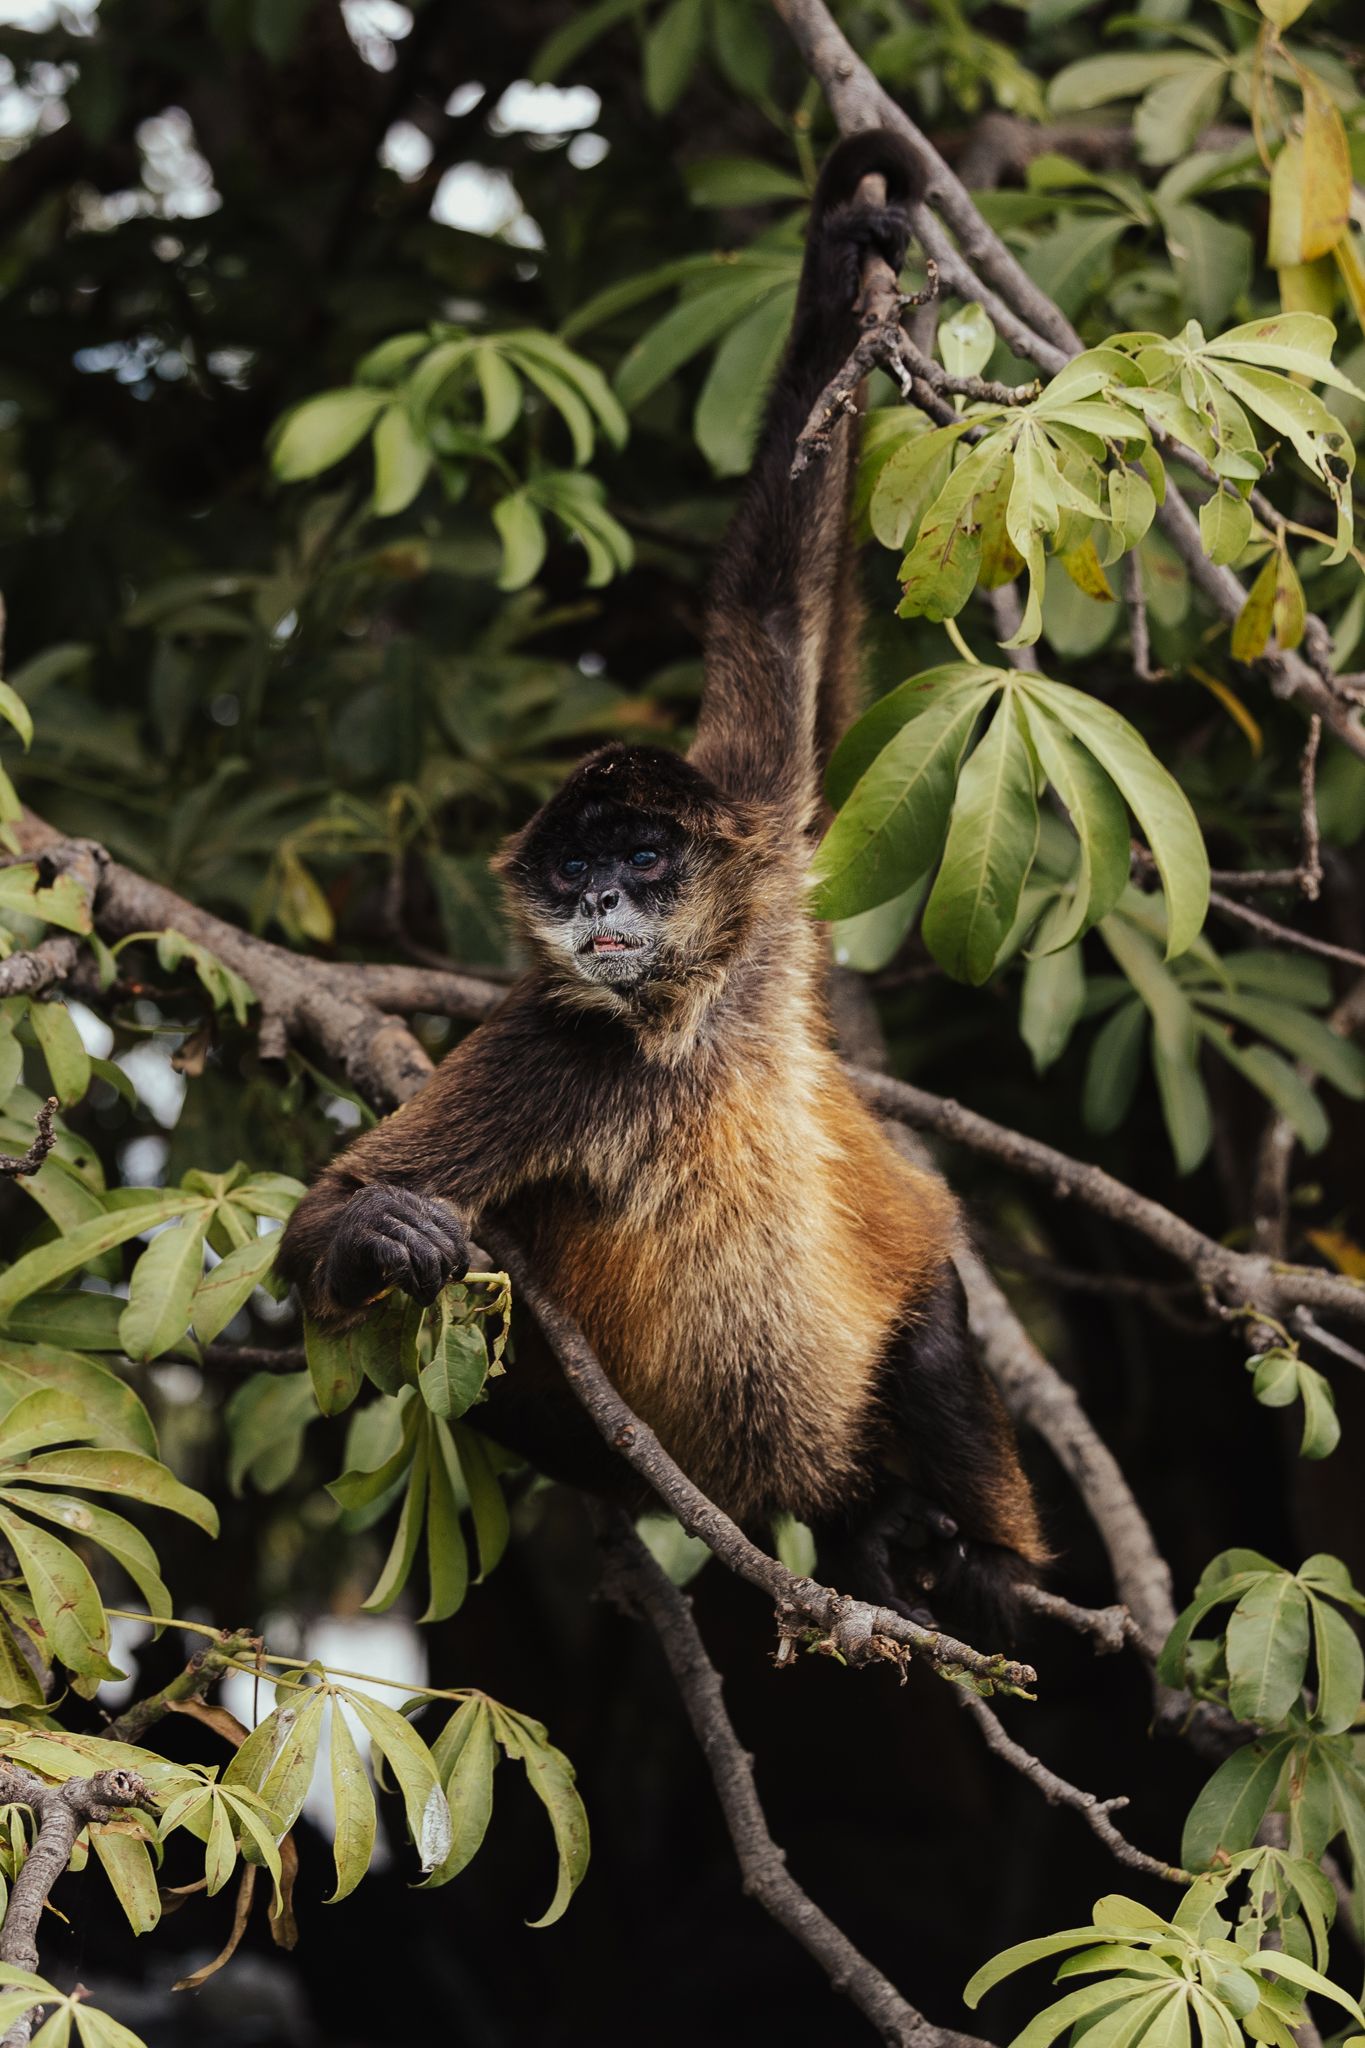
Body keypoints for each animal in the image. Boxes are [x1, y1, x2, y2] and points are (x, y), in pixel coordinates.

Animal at [277, 129, 1047, 1629]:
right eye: (575, 871)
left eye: (641, 857)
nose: (601, 907)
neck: (679, 1026)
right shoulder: (546, 1043)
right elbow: (315, 1232)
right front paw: (377, 1231)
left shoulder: (761, 867)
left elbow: (772, 616)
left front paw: (836, 256)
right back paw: (867, 1541)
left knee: (928, 1318)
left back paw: (965, 1562)